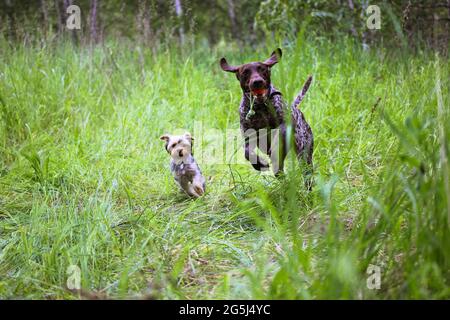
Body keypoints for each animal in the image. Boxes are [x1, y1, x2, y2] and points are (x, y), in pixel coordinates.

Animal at [221, 48, 312, 188]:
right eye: (245, 72)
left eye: (262, 69)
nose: (257, 82)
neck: (260, 108)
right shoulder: (249, 136)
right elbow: (247, 153)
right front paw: (259, 164)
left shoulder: (285, 125)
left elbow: (279, 136)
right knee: (279, 171)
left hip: (304, 156)